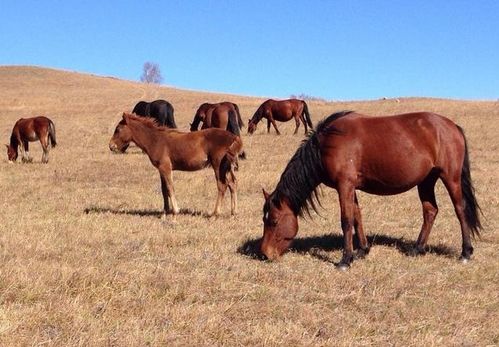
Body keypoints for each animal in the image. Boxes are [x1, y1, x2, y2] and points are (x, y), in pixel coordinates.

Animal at [109, 113, 244, 219]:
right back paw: (234, 212)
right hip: (227, 167)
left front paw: (175, 212)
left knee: (222, 185)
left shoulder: (165, 167)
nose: (111, 146)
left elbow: (170, 187)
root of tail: (234, 137)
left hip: (218, 165)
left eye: (118, 129)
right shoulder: (161, 169)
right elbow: (164, 190)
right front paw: (164, 213)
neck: (156, 140)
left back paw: (215, 214)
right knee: (233, 183)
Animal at [262, 111, 484, 270]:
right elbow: (357, 217)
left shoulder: (344, 185)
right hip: (426, 181)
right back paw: (417, 248)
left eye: (273, 221)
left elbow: (346, 220)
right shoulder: (351, 187)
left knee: (460, 210)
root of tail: (452, 126)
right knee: (430, 211)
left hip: (450, 178)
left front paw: (345, 259)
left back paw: (465, 252)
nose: (264, 254)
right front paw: (362, 250)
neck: (327, 144)